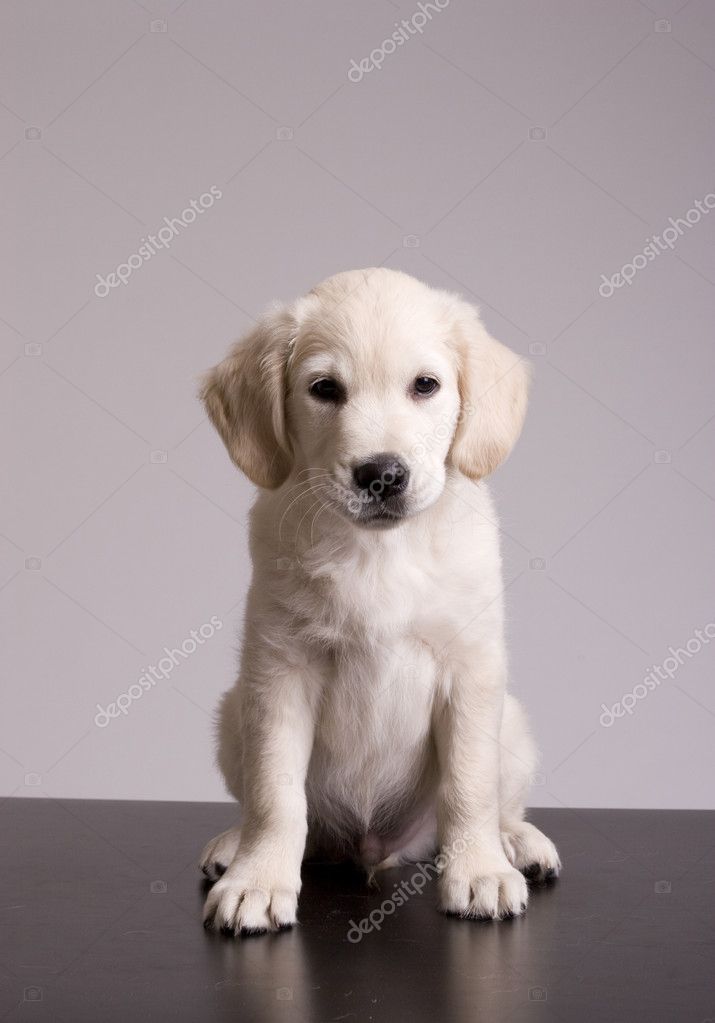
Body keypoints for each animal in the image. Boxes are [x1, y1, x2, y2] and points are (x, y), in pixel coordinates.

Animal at [198, 265, 560, 937]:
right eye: (324, 389)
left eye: (426, 386)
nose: (382, 475)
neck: (380, 552)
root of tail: (373, 849)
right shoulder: (279, 671)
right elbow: (275, 794)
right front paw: (258, 880)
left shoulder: (471, 669)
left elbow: (469, 786)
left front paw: (479, 871)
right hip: (233, 715)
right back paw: (236, 846)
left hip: (514, 727)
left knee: (499, 802)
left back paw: (516, 842)